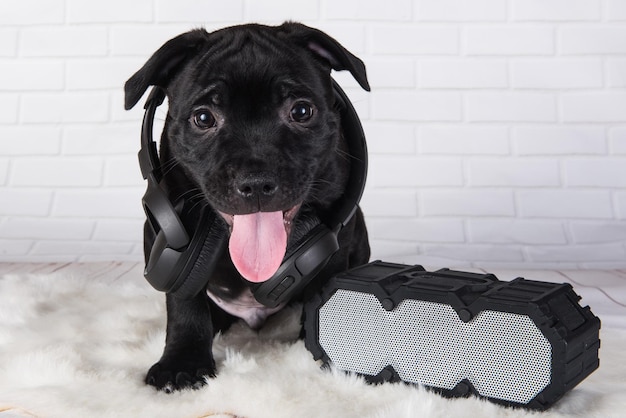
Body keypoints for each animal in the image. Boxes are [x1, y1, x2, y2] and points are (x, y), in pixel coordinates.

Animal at [125, 21, 370, 390]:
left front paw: (318, 346)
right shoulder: (173, 237)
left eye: (301, 111)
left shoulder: (337, 235)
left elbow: (321, 293)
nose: (255, 182)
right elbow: (184, 300)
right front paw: (182, 362)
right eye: (203, 118)